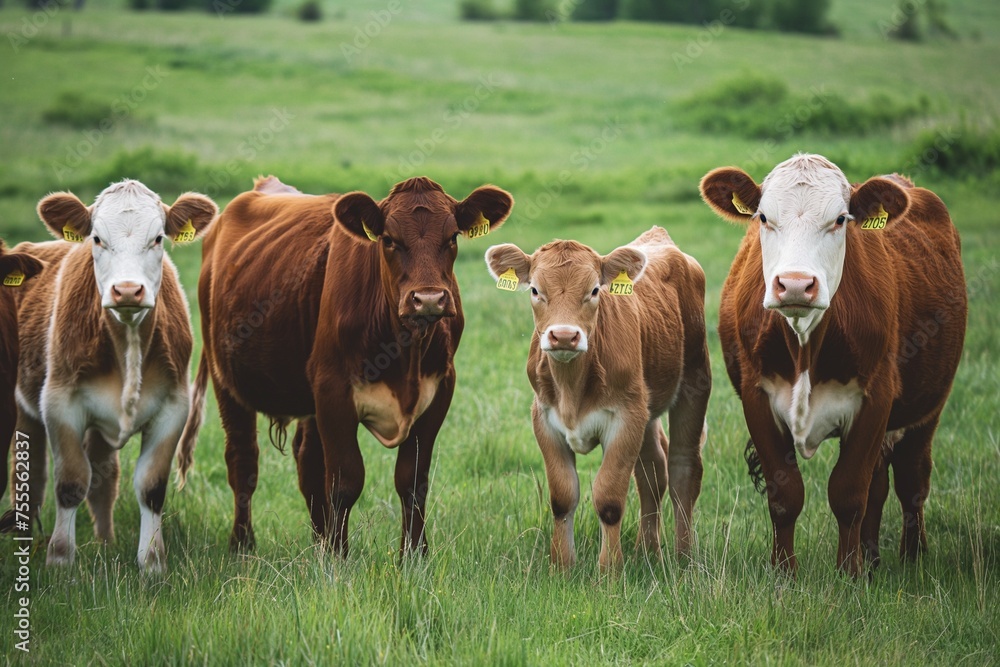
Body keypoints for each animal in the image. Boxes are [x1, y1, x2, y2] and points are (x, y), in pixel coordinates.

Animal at [10, 180, 216, 572]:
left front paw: (152, 563)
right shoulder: (60, 404)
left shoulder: (174, 408)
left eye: (158, 238)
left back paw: (105, 541)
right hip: (23, 409)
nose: (127, 290)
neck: (128, 342)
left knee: (104, 474)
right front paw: (60, 561)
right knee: (29, 474)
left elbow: (150, 487)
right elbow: (71, 482)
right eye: (97, 238)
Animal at [179, 175, 513, 556]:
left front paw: (414, 555)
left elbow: (412, 480)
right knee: (242, 461)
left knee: (307, 462)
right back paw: (243, 545)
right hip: (227, 380)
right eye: (389, 239)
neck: (405, 353)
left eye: (453, 237)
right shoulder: (333, 390)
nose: (428, 299)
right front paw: (339, 557)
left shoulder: (440, 389)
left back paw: (317, 543)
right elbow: (345, 480)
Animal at [484, 227, 710, 571]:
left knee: (683, 469)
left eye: (593, 291)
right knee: (652, 470)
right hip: (646, 408)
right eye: (535, 290)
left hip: (694, 383)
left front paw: (610, 570)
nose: (564, 336)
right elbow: (563, 496)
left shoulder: (625, 419)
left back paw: (684, 557)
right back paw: (648, 551)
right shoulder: (544, 419)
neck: (572, 390)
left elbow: (609, 498)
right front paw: (562, 566)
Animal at [700, 153, 966, 576]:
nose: (794, 284)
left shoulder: (876, 399)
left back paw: (911, 557)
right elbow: (786, 494)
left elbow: (849, 492)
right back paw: (872, 558)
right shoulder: (757, 399)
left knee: (912, 479)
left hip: (929, 406)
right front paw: (785, 572)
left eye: (841, 219)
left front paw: (849, 574)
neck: (805, 346)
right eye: (763, 217)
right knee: (881, 482)